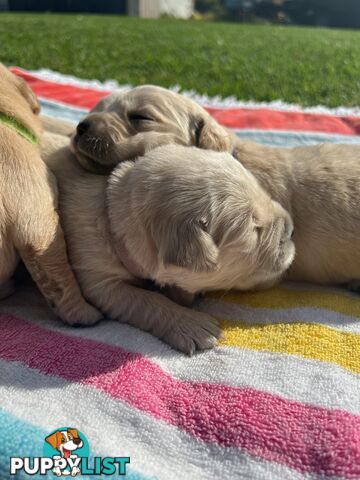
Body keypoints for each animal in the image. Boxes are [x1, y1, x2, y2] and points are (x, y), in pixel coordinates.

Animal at [42, 135, 294, 352]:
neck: (111, 214)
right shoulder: (98, 279)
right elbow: (145, 300)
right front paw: (193, 326)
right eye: (254, 228)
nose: (291, 229)